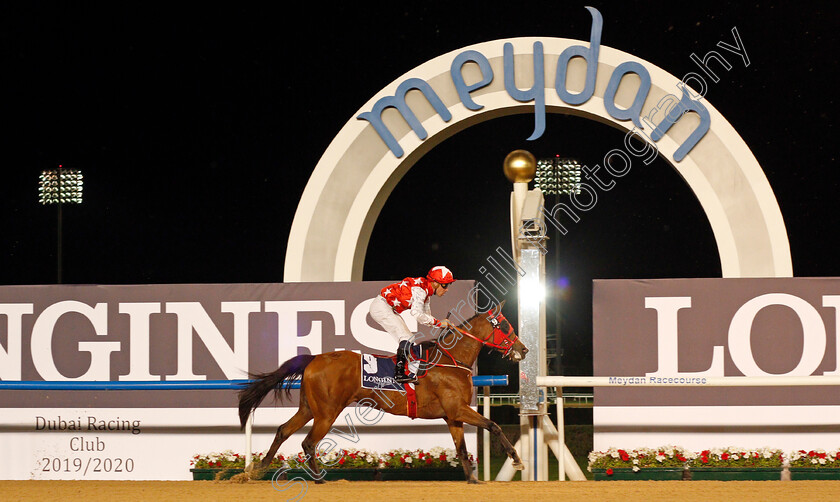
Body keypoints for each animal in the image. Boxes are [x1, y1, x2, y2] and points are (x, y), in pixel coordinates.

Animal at [236, 302, 524, 482]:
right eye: (504, 326)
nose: (524, 349)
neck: (451, 360)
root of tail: (316, 358)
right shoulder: (459, 409)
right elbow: (494, 426)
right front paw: (516, 459)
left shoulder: (452, 416)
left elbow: (462, 449)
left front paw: (473, 481)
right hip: (327, 412)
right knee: (308, 442)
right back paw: (317, 480)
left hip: (309, 408)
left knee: (283, 430)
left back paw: (257, 470)